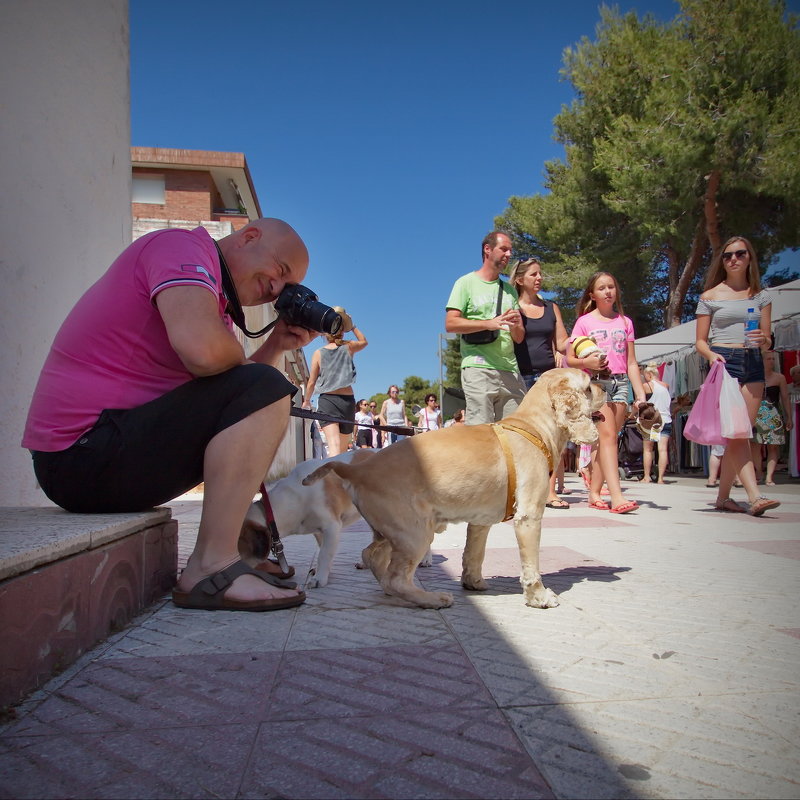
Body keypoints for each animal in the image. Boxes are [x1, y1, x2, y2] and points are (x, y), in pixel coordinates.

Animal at [304, 368, 604, 608]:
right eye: (589, 386)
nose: (606, 387)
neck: (532, 426)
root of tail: (358, 469)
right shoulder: (528, 515)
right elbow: (531, 566)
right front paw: (539, 597)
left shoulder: (481, 521)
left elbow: (474, 553)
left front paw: (473, 582)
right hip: (414, 532)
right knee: (396, 578)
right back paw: (431, 599)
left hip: (392, 530)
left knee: (372, 557)